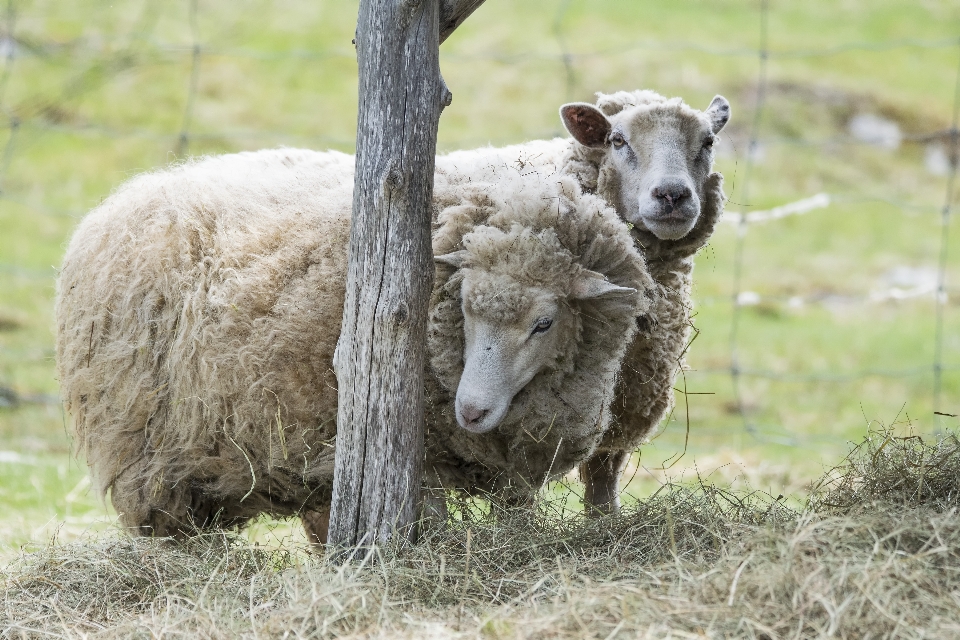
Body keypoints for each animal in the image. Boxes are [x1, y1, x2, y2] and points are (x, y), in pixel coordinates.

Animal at [56, 150, 656, 540]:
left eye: (544, 323)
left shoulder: (512, 461)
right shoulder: (418, 454)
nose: (471, 410)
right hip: (148, 452)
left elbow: (517, 514)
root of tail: (118, 203)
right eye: (464, 306)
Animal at [432, 89, 732, 516]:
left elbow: (602, 487)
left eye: (708, 142)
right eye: (617, 140)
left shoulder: (615, 420)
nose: (672, 195)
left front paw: (605, 522)